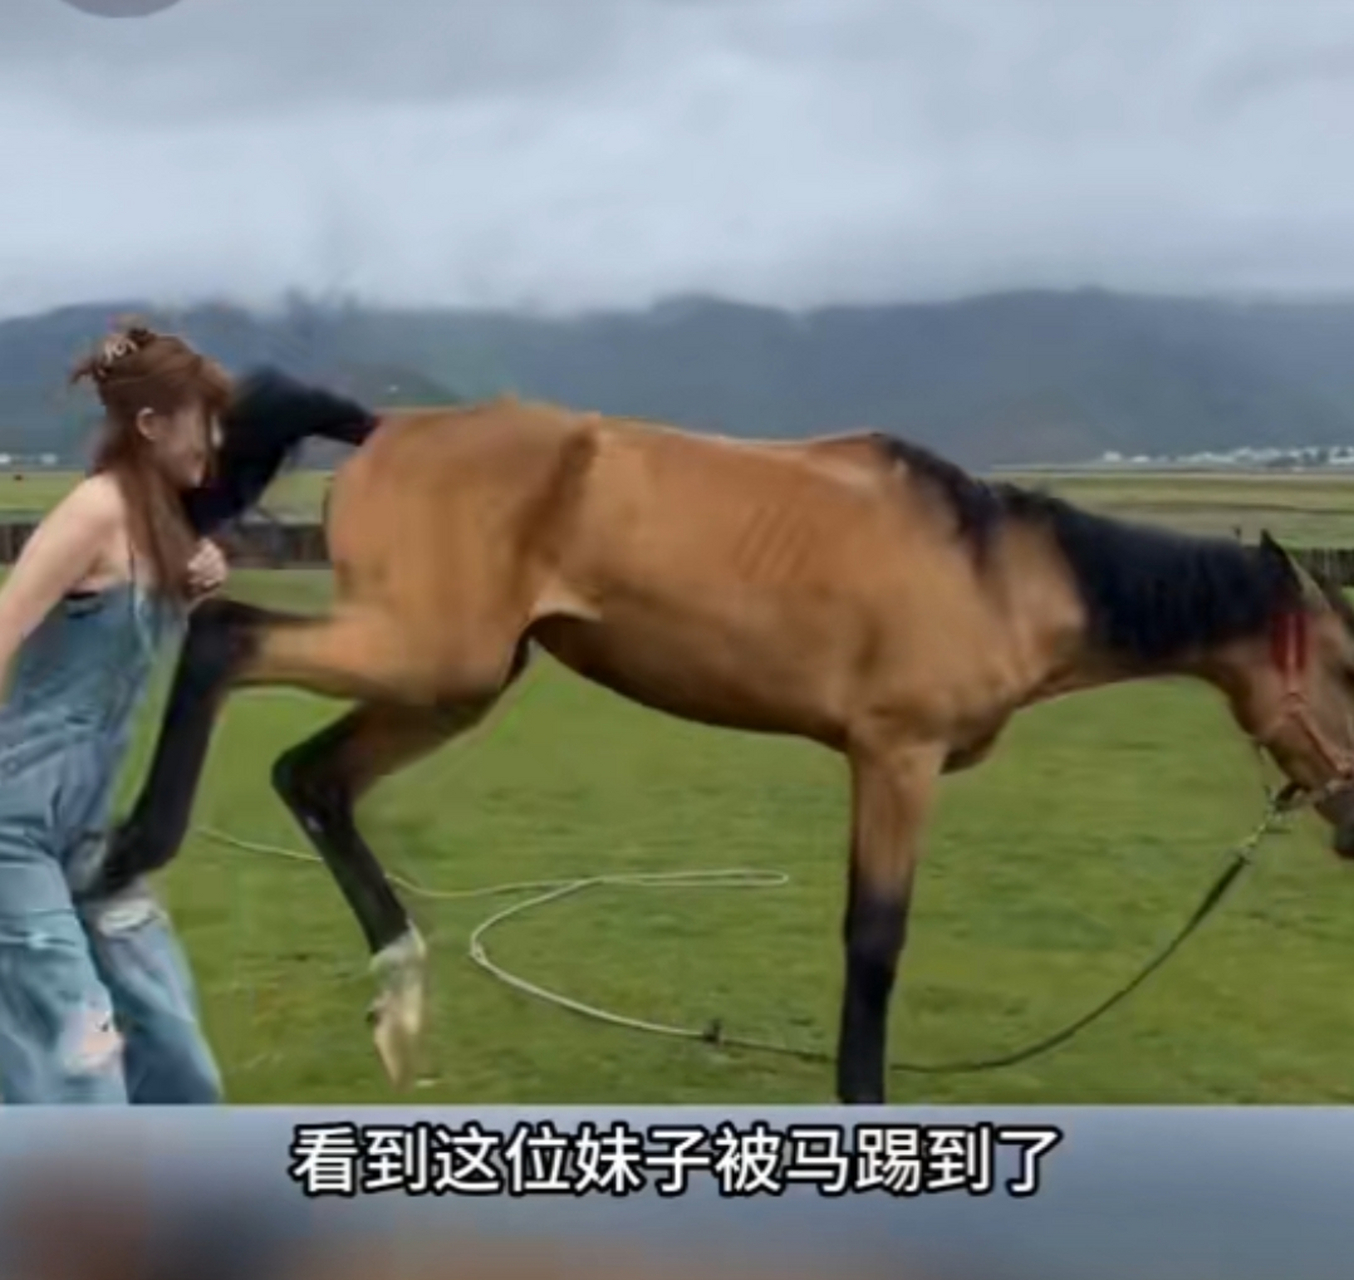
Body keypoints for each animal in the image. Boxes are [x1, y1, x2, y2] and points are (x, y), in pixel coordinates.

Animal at [92, 394, 1354, 1104]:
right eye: (1348, 668)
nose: (1348, 811)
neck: (996, 568)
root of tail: (387, 425)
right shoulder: (894, 759)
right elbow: (874, 942)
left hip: (453, 680)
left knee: (311, 777)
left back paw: (398, 999)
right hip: (421, 651)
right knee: (224, 639)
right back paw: (123, 858)